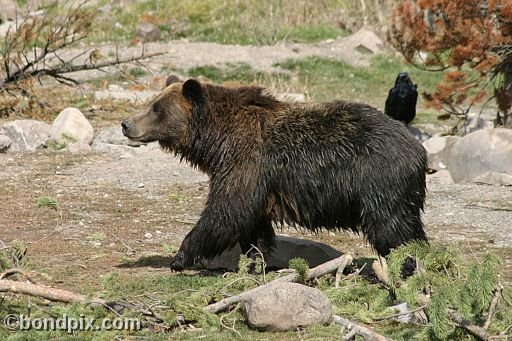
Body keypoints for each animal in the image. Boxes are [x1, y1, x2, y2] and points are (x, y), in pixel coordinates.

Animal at [121, 78, 428, 270]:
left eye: (156, 108)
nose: (126, 124)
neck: (217, 140)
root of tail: (417, 149)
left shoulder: (246, 163)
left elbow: (226, 211)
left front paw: (181, 257)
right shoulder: (258, 181)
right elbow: (252, 224)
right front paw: (255, 260)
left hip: (378, 181)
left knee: (392, 228)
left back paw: (406, 263)